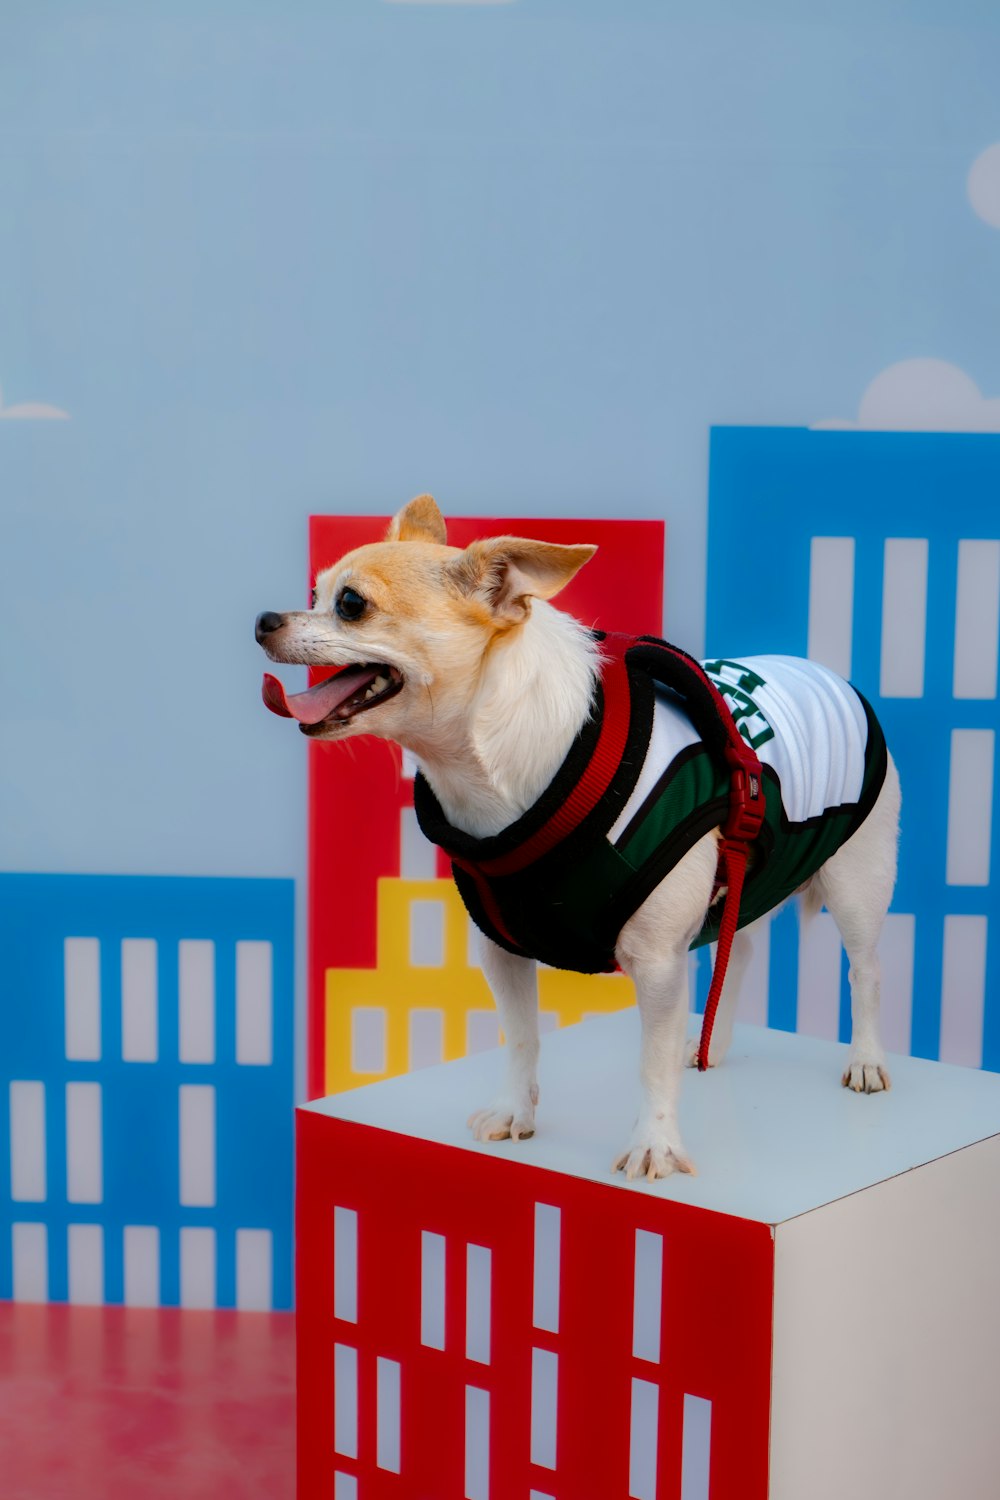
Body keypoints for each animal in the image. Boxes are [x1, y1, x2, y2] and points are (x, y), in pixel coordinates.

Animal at [257, 498, 899, 1176]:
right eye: (313, 593)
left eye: (351, 604)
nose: (264, 619)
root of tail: (827, 673)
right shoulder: (502, 950)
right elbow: (522, 1037)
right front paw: (514, 1110)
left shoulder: (658, 964)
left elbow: (649, 1065)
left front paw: (654, 1144)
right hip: (739, 875)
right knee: (739, 947)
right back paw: (711, 1046)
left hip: (857, 884)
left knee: (865, 970)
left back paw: (865, 1060)